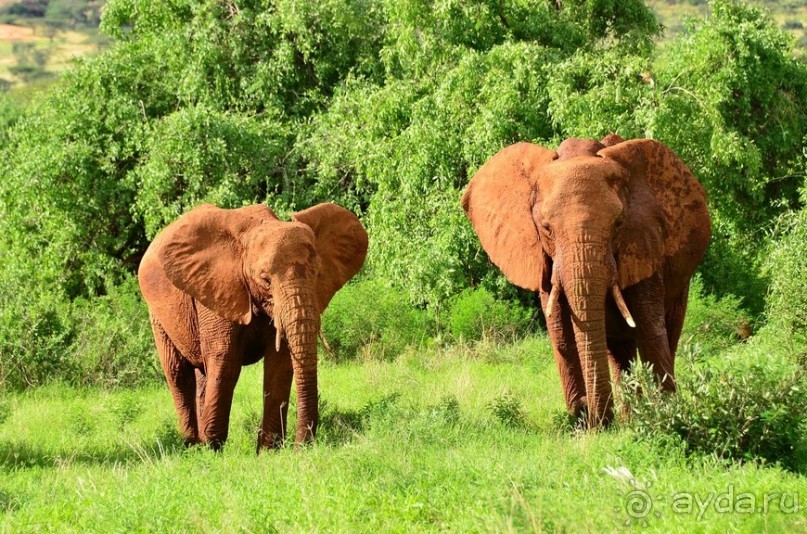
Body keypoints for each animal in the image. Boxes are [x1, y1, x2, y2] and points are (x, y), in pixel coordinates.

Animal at [139, 203, 370, 450]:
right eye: (265, 280)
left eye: (317, 274)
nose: (301, 446)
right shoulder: (216, 290)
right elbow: (225, 361)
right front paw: (214, 450)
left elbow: (280, 364)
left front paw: (269, 451)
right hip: (157, 314)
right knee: (178, 373)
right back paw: (192, 446)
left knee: (201, 373)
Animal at [464, 136, 712, 430]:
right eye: (546, 228)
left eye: (618, 224)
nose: (596, 419)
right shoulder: (545, 264)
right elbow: (561, 335)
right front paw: (581, 422)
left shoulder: (644, 244)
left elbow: (651, 331)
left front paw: (666, 415)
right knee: (620, 353)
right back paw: (627, 416)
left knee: (667, 333)